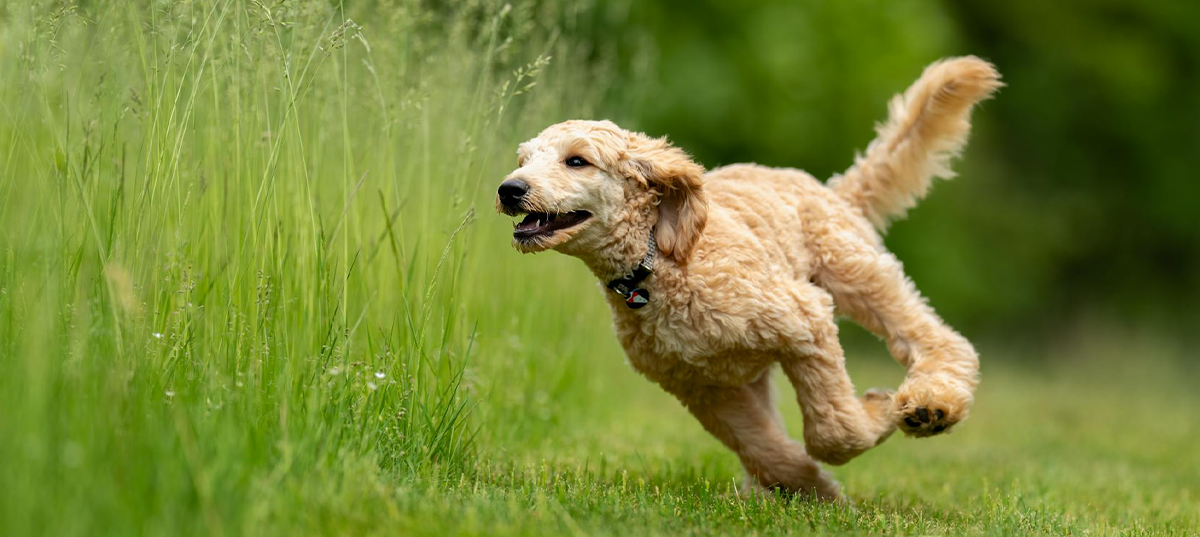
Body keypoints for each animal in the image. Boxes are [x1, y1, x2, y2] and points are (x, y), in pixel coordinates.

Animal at [496, 57, 1003, 498]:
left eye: (577, 161)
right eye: (523, 160)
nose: (509, 189)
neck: (657, 266)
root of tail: (830, 188)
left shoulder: (804, 320)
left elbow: (833, 430)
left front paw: (877, 413)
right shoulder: (703, 388)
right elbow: (764, 446)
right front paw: (811, 489)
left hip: (855, 272)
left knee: (937, 339)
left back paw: (932, 405)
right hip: (755, 367)